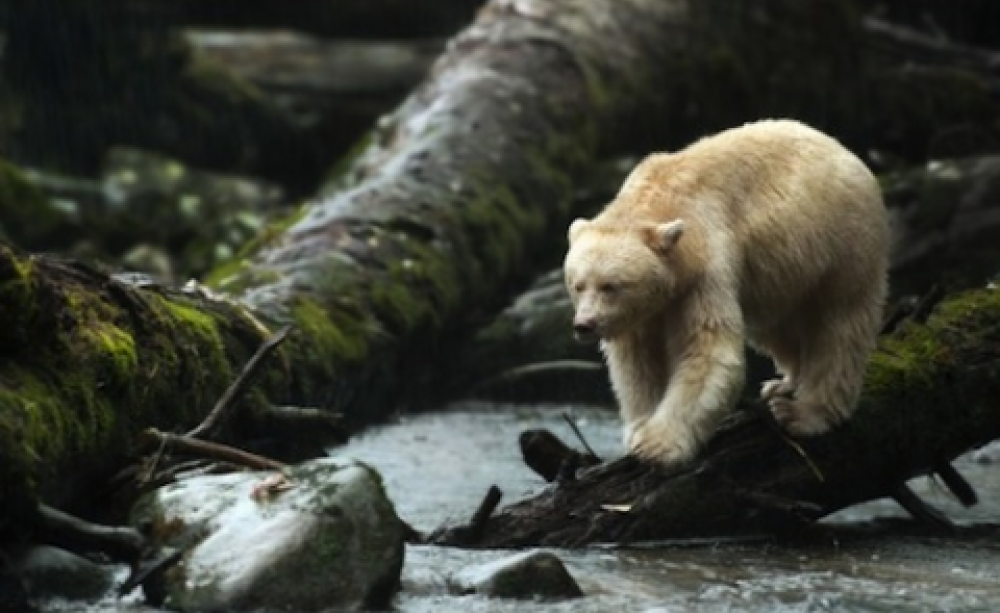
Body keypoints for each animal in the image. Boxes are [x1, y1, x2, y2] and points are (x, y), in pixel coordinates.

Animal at [563, 119, 889, 465]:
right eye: (577, 285)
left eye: (611, 286)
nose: (584, 325)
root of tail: (844, 150)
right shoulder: (641, 314)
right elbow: (637, 362)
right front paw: (639, 428)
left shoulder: (706, 265)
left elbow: (707, 350)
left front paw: (657, 445)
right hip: (780, 277)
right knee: (776, 328)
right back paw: (782, 383)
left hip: (843, 242)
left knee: (839, 327)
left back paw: (803, 413)